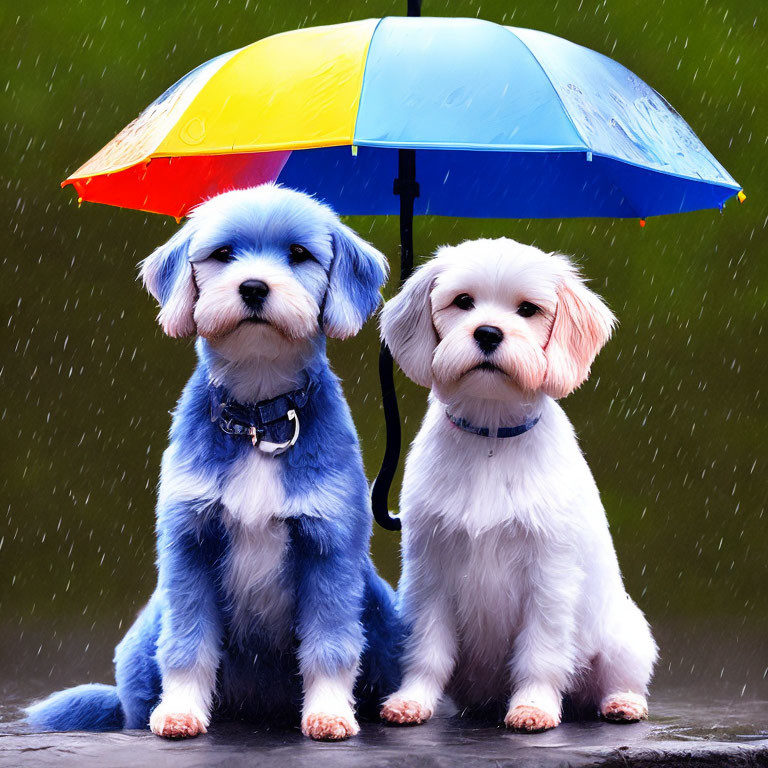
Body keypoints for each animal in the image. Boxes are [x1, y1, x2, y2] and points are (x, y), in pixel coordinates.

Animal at [28, 183, 402, 740]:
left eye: (299, 254)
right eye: (223, 253)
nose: (253, 287)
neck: (258, 421)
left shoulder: (329, 547)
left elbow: (330, 644)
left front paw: (329, 714)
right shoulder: (190, 543)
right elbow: (188, 643)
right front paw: (181, 712)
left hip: (379, 606)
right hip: (144, 635)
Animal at [378, 238, 656, 732]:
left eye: (528, 309)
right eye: (463, 301)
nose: (488, 333)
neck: (491, 436)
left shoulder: (549, 573)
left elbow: (539, 652)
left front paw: (533, 707)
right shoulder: (430, 569)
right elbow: (427, 649)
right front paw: (412, 701)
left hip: (626, 636)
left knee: (617, 679)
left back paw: (622, 703)